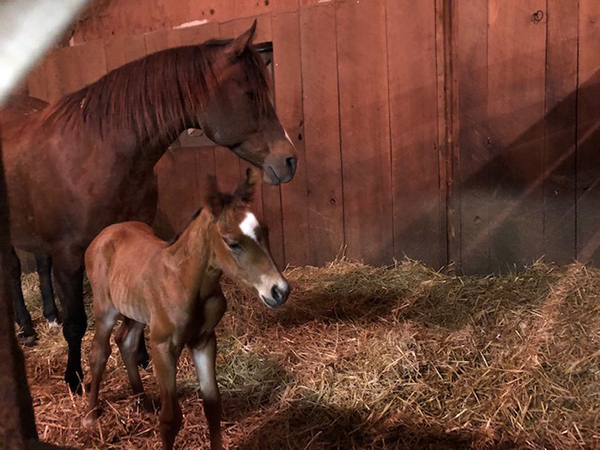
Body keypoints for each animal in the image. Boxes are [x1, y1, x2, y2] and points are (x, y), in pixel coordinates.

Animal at [0, 22, 298, 392]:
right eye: (250, 95)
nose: (288, 160)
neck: (97, 152)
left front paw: (140, 357)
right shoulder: (69, 255)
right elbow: (76, 322)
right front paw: (74, 377)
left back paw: (44, 319)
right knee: (13, 271)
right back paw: (27, 328)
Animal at [83, 171, 290, 448]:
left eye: (265, 231)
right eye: (233, 243)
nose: (279, 290)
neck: (186, 281)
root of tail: (105, 233)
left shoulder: (203, 340)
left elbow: (212, 404)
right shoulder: (162, 345)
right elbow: (171, 419)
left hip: (138, 312)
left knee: (126, 342)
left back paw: (143, 402)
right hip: (105, 309)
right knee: (99, 352)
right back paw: (91, 414)